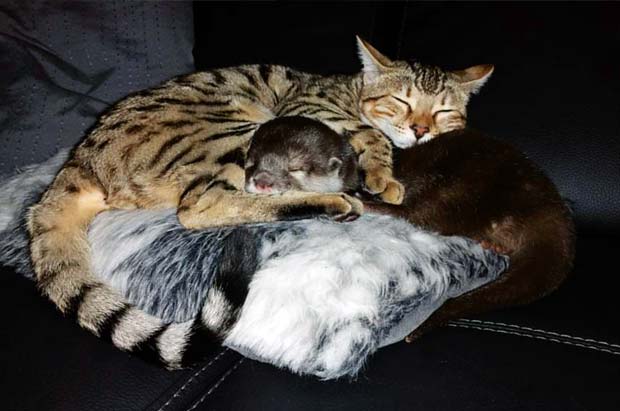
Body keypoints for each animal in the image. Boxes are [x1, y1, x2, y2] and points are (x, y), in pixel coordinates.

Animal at [24, 37, 492, 368]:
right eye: (401, 101)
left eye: (444, 111)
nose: (420, 129)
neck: (351, 89)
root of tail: (80, 159)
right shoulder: (311, 111)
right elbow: (372, 136)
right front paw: (383, 174)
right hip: (239, 132)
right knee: (201, 207)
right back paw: (333, 201)